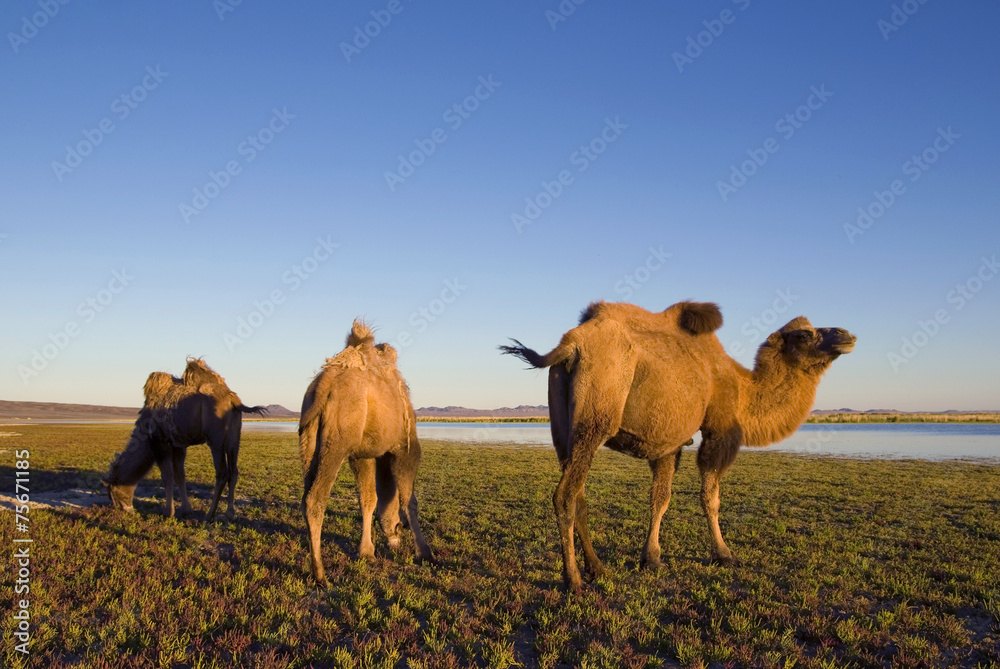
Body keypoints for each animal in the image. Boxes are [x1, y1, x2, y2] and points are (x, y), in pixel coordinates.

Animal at [102, 358, 266, 520]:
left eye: (111, 493)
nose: (124, 510)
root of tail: (234, 400)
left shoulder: (161, 443)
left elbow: (167, 476)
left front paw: (168, 513)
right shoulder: (178, 445)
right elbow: (180, 475)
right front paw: (186, 509)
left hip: (216, 440)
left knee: (222, 473)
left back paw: (209, 515)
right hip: (234, 439)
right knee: (234, 471)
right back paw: (229, 513)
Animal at [300, 318, 434, 584]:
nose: (396, 538)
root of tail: (323, 385)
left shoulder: (364, 454)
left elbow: (368, 500)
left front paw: (366, 552)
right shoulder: (405, 448)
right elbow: (408, 501)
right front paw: (425, 552)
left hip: (309, 441)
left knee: (305, 493)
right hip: (336, 444)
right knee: (315, 499)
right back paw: (320, 574)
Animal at [504, 298, 856, 588]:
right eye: (805, 335)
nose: (846, 334)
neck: (742, 388)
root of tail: (571, 344)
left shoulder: (669, 443)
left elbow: (660, 499)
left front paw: (651, 558)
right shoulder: (719, 430)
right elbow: (710, 498)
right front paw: (724, 554)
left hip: (562, 425)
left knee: (579, 496)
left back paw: (598, 569)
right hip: (595, 418)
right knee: (565, 495)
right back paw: (574, 581)